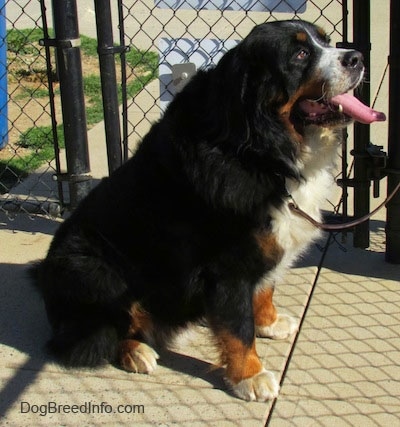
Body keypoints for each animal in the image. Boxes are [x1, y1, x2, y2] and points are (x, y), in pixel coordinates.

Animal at [32, 19, 384, 402]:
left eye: (326, 40)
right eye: (301, 53)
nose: (357, 57)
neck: (260, 149)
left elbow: (264, 289)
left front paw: (269, 322)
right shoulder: (227, 263)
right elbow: (237, 327)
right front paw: (250, 376)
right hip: (93, 267)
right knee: (95, 336)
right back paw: (136, 351)